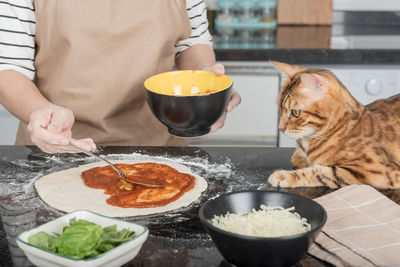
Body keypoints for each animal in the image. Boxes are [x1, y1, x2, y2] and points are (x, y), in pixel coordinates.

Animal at [268, 61, 400, 189]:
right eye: (280, 108)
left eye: (296, 113)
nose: (280, 128)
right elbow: (297, 159)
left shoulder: (381, 172)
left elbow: (323, 172)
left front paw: (286, 176)